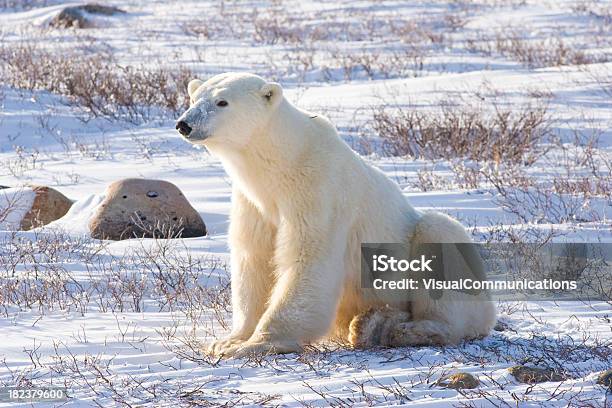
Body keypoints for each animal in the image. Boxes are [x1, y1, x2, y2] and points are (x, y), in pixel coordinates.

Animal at [173, 73, 498, 356]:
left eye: (222, 102)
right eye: (194, 98)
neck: (283, 164)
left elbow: (307, 259)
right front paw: (229, 340)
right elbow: (254, 260)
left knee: (438, 235)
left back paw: (409, 330)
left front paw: (258, 343)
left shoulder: (317, 190)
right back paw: (371, 323)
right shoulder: (254, 203)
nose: (184, 124)